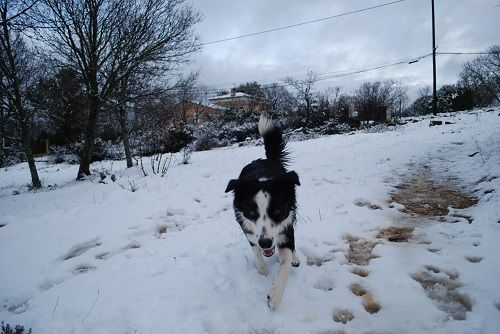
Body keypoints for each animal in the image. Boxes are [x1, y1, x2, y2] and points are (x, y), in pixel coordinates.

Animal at [226, 113, 300, 310]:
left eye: (277, 211)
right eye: (252, 213)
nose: (266, 243)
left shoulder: (285, 226)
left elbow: (286, 263)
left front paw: (275, 296)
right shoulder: (250, 231)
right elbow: (256, 253)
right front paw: (263, 270)